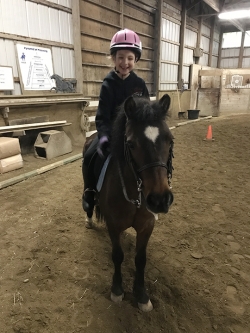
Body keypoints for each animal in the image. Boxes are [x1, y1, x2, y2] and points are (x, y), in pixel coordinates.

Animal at [84, 94, 174, 312]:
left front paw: (141, 295)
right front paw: (117, 290)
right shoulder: (113, 225)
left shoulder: (147, 226)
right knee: (89, 202)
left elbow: (141, 260)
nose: (160, 200)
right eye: (131, 144)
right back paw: (88, 220)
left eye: (170, 140)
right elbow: (118, 255)